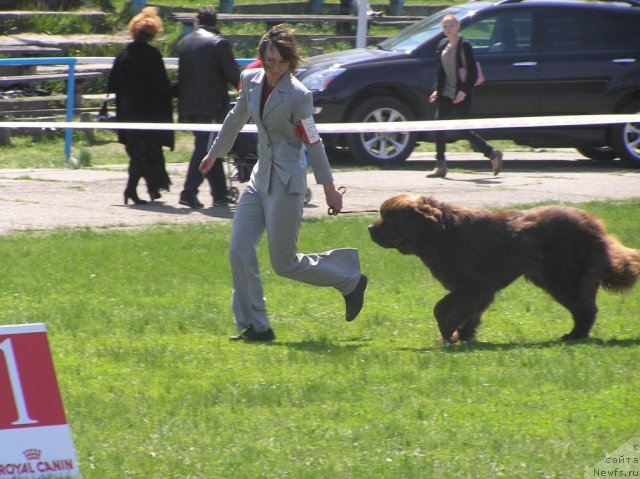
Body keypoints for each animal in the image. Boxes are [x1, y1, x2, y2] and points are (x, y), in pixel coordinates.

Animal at [368, 196, 640, 344]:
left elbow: (442, 308)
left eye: (388, 218)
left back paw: (574, 335)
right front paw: (462, 336)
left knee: (586, 309)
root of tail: (592, 224)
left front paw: (447, 333)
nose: (370, 228)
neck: (437, 235)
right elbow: (470, 313)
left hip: (563, 276)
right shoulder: (476, 291)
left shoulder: (475, 284)